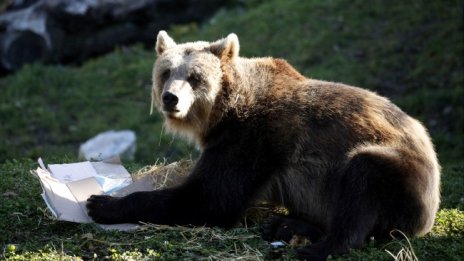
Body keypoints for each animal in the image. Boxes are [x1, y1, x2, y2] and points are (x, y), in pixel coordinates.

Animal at [86, 31, 438, 258]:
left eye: (195, 76)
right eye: (166, 71)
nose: (170, 98)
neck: (224, 111)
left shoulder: (253, 138)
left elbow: (210, 197)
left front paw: (101, 203)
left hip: (401, 176)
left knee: (362, 180)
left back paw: (316, 247)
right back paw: (285, 225)